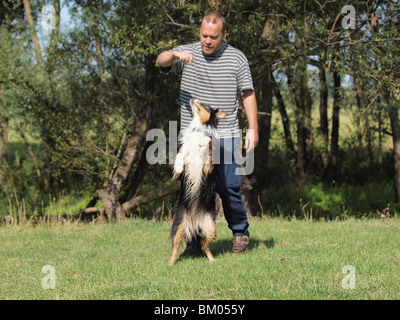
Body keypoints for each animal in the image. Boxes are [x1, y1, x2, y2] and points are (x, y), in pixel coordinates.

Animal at [167, 98, 227, 264]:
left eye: (205, 105)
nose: (193, 98)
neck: (198, 130)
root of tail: (194, 222)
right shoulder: (184, 151)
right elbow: (180, 156)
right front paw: (178, 168)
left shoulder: (207, 169)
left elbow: (210, 153)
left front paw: (208, 144)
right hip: (179, 225)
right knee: (175, 247)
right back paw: (170, 263)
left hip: (211, 227)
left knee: (207, 247)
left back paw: (212, 260)